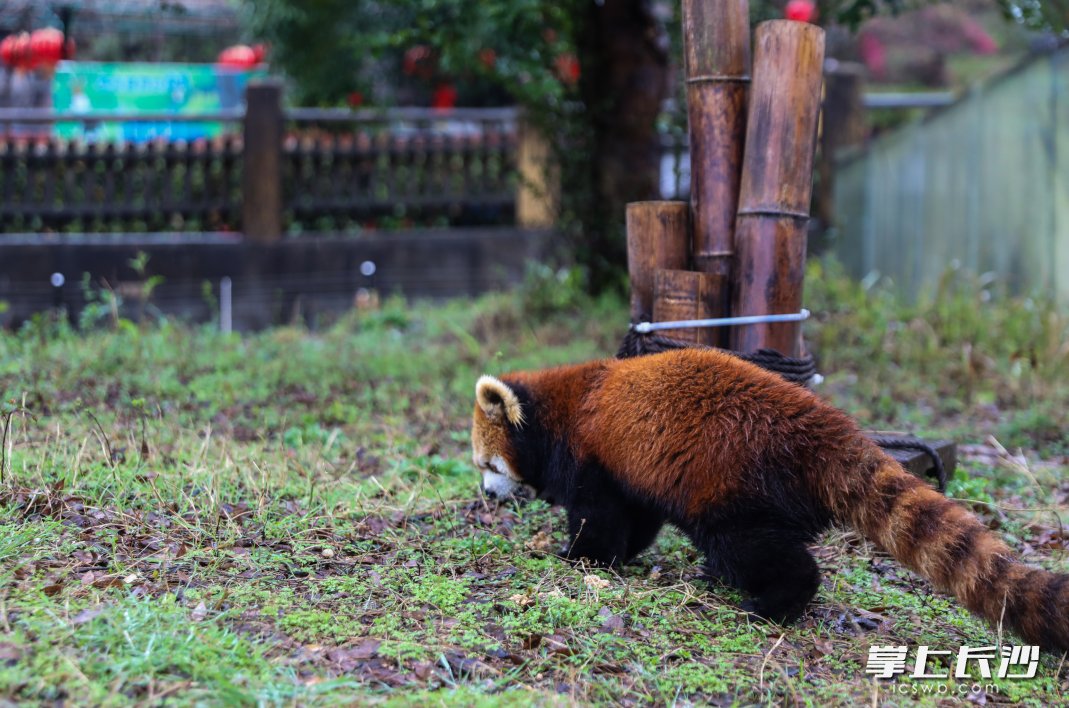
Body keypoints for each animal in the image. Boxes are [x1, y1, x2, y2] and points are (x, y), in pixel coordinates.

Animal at [472, 348, 1069, 654]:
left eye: (487, 465)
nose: (484, 494)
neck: (558, 409)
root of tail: (829, 432)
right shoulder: (631, 468)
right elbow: (637, 517)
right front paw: (623, 554)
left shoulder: (593, 456)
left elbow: (599, 516)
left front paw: (581, 556)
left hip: (738, 482)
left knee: (755, 547)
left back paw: (769, 604)